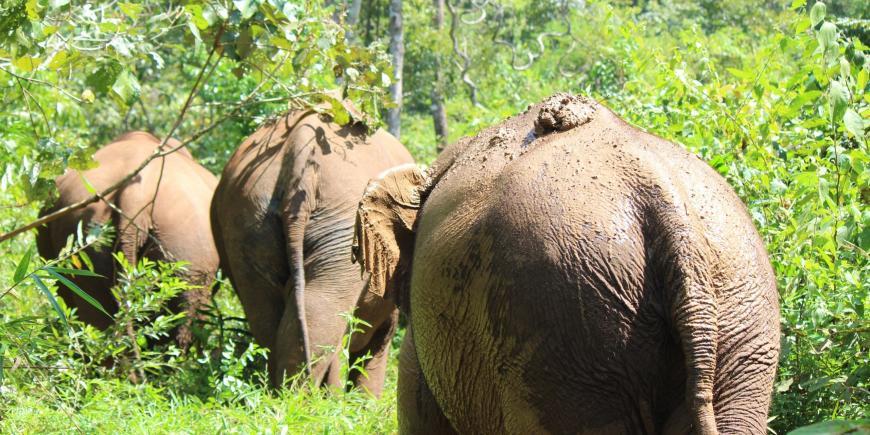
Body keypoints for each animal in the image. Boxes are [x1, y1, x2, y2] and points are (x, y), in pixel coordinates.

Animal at [210, 106, 414, 394]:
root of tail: (298, 143)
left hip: (248, 217)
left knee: (268, 314)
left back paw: (282, 395)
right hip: (340, 222)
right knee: (325, 309)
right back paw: (307, 399)